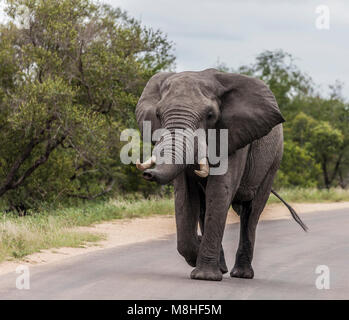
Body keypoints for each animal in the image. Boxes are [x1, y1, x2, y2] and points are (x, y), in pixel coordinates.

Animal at [135, 69, 306, 282]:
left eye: (210, 115)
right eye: (158, 114)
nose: (148, 174)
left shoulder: (235, 137)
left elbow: (218, 192)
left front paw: (205, 277)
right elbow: (185, 196)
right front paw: (198, 255)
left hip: (273, 161)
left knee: (251, 213)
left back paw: (241, 274)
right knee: (205, 208)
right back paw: (223, 268)